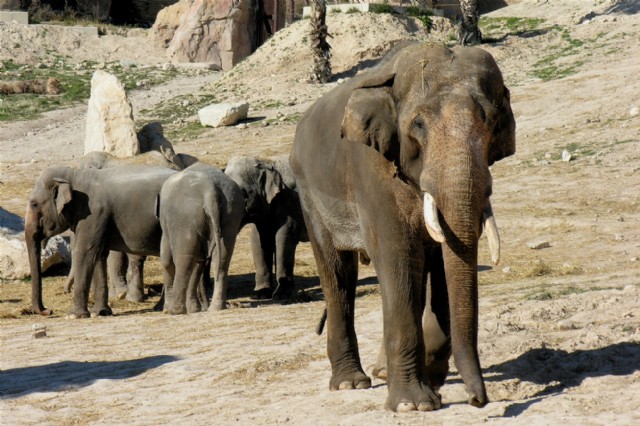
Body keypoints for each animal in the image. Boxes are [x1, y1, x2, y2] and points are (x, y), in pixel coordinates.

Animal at [25, 165, 178, 318]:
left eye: (34, 204)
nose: (48, 310)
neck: (74, 174)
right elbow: (98, 255)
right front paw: (99, 313)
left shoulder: (94, 214)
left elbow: (86, 252)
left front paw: (73, 315)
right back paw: (159, 307)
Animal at [158, 162, 245, 312]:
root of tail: (210, 192)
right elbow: (199, 261)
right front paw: (194, 309)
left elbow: (166, 258)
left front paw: (169, 309)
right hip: (232, 212)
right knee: (222, 257)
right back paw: (215, 308)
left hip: (185, 218)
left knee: (184, 258)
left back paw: (175, 310)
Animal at [225, 156, 308, 300]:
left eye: (243, 194)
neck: (267, 161)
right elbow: (258, 240)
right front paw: (259, 294)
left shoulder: (293, 203)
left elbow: (284, 238)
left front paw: (282, 296)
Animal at [290, 41, 516, 412]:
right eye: (419, 125)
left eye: (492, 122)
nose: (477, 400)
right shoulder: (372, 168)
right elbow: (398, 256)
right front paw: (415, 405)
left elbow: (439, 261)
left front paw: (434, 380)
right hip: (308, 193)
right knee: (338, 273)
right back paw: (350, 383)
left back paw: (382, 373)